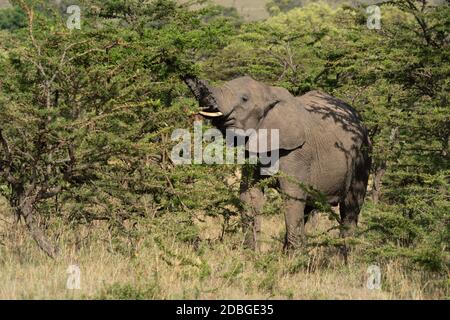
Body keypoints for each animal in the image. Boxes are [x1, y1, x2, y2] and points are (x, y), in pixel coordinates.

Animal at [181, 75, 370, 252]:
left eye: (244, 99)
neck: (269, 90)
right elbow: (250, 195)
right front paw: (252, 256)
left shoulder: (298, 152)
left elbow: (292, 196)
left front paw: (293, 261)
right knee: (309, 208)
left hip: (362, 155)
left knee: (350, 208)